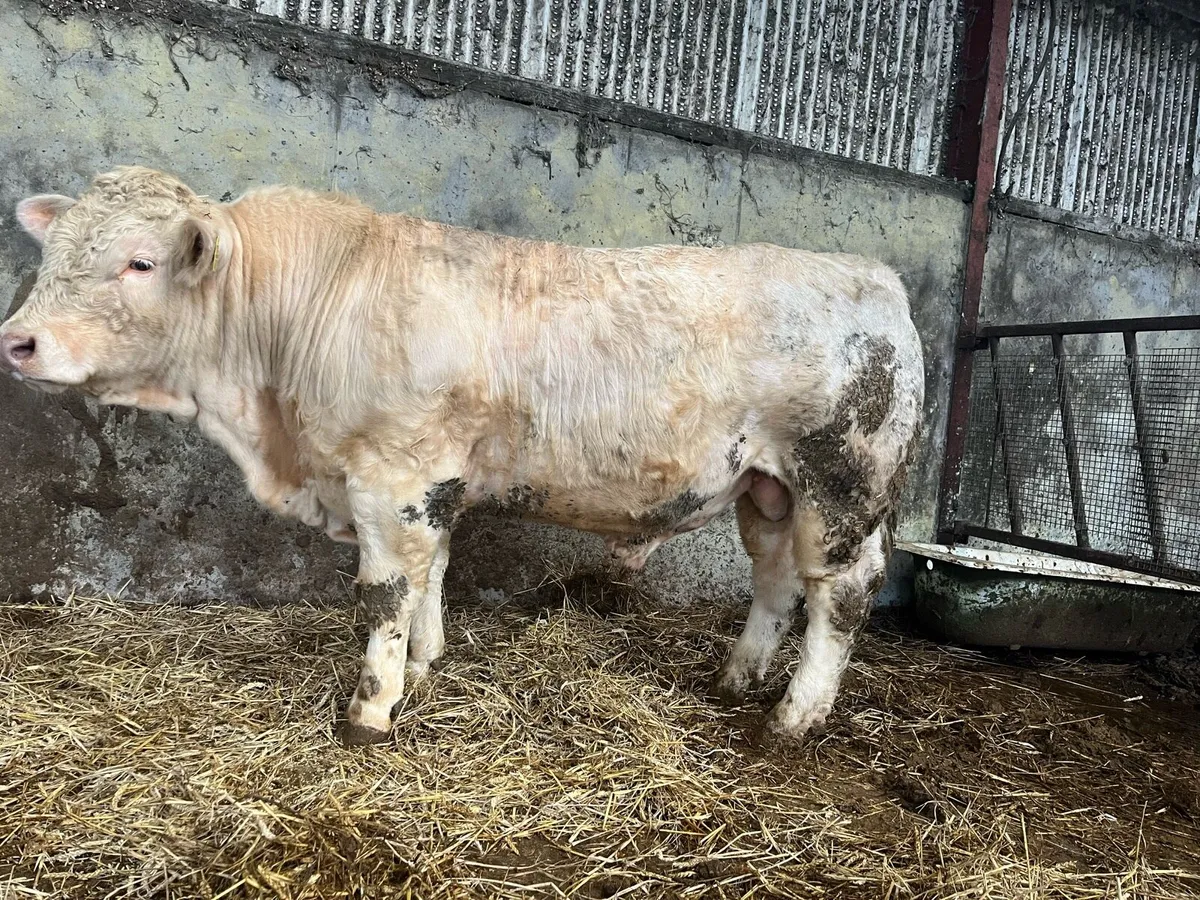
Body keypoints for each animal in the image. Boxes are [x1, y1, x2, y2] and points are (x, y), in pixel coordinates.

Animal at [0, 167, 924, 747]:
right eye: (53, 253)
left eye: (140, 262)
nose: (18, 341)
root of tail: (875, 277)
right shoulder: (430, 477)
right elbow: (432, 574)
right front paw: (425, 665)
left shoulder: (392, 477)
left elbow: (386, 593)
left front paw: (369, 713)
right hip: (767, 487)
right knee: (775, 578)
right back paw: (736, 680)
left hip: (843, 481)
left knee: (840, 595)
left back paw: (791, 720)